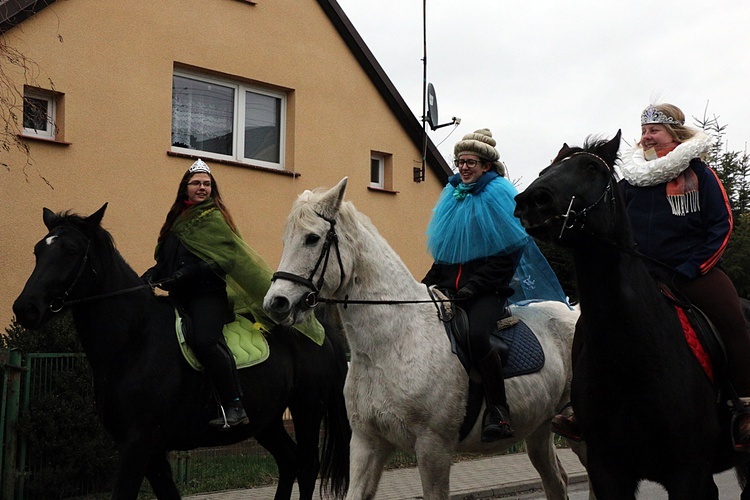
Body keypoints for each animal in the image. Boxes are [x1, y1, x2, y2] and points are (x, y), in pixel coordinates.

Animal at [12, 204, 352, 500]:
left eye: (70, 250)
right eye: (38, 250)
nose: (26, 308)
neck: (136, 341)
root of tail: (322, 332)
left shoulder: (138, 445)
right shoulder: (148, 449)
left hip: (307, 409)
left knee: (306, 467)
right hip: (266, 419)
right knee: (289, 461)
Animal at [264, 178, 588, 500]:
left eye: (312, 238)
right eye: (285, 239)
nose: (276, 303)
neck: (392, 343)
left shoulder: (434, 447)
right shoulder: (367, 441)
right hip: (539, 427)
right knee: (556, 480)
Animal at [516, 133, 750, 500]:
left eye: (592, 167)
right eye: (545, 170)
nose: (531, 201)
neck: (631, 358)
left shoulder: (691, 477)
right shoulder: (609, 473)